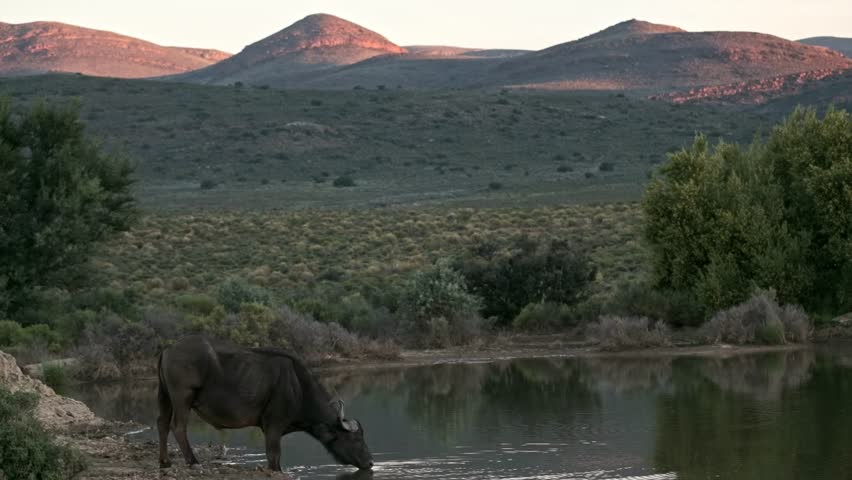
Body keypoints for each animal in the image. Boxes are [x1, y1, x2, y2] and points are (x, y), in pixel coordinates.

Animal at [157, 335, 373, 471]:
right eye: (356, 439)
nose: (370, 462)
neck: (298, 386)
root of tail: (168, 349)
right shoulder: (274, 426)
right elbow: (274, 456)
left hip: (165, 397)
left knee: (162, 424)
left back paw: (165, 462)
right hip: (182, 398)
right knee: (178, 426)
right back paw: (193, 461)